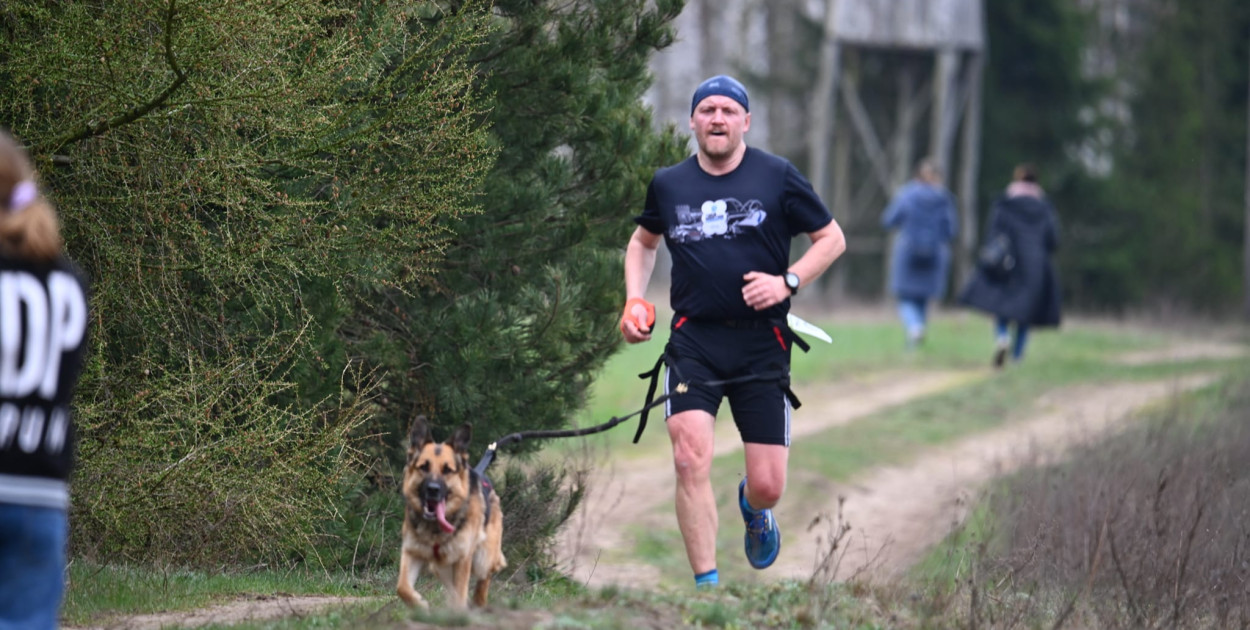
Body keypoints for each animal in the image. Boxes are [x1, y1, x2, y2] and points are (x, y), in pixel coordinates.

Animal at [395, 415, 502, 607]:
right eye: (424, 467)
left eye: (447, 470)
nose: (433, 489)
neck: (435, 529)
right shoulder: (412, 552)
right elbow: (402, 588)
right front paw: (421, 605)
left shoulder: (462, 559)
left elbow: (460, 597)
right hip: (441, 568)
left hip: (483, 558)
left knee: (485, 577)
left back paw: (479, 602)